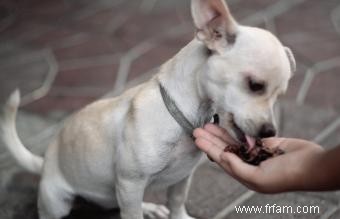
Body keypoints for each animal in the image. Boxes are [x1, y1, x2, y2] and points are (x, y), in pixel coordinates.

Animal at [0, 0, 294, 219]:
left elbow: (177, 203)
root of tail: (45, 163)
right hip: (58, 202)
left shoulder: (181, 179)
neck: (182, 117)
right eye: (255, 86)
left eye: (281, 95)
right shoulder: (131, 183)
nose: (270, 131)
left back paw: (150, 207)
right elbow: (132, 213)